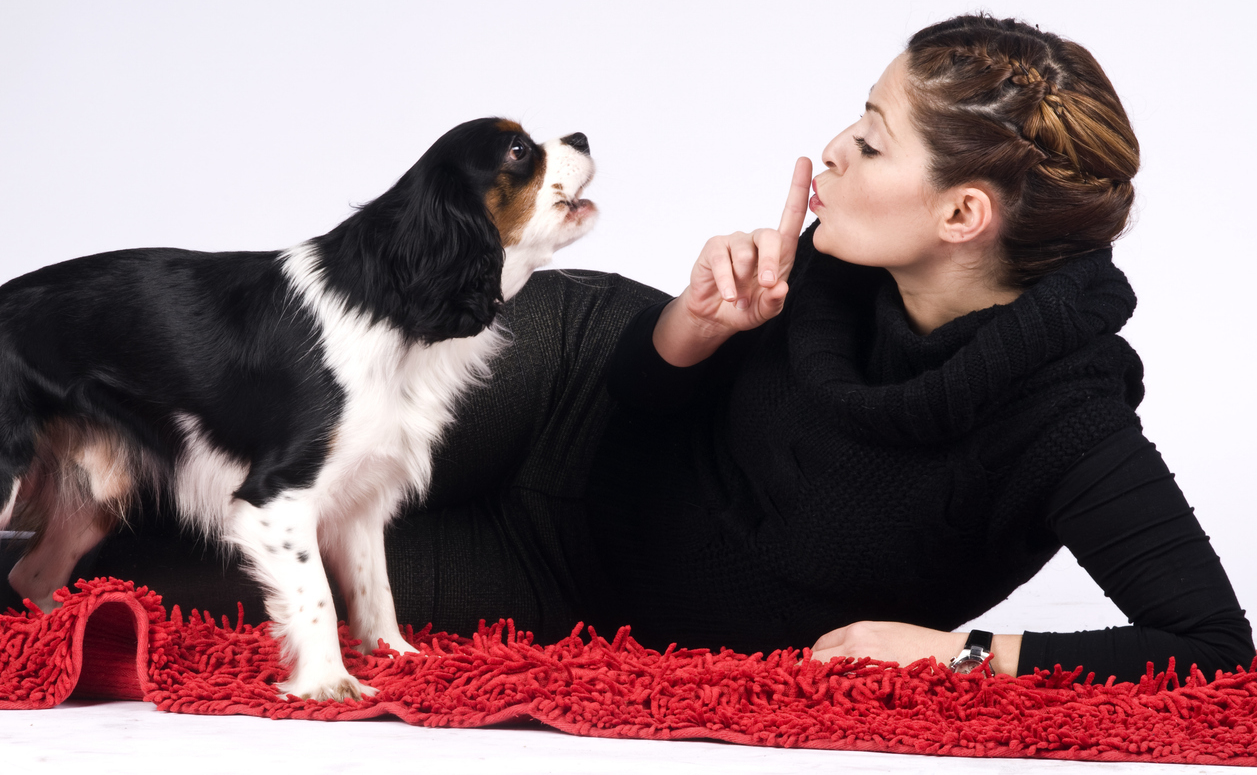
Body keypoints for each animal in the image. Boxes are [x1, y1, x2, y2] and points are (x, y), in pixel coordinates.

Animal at [0, 117, 597, 701]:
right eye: (518, 150)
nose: (583, 137)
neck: (386, 301)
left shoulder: (361, 502)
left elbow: (376, 593)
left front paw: (402, 662)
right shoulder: (276, 497)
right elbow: (319, 599)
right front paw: (331, 684)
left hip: (95, 495)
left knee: (30, 576)